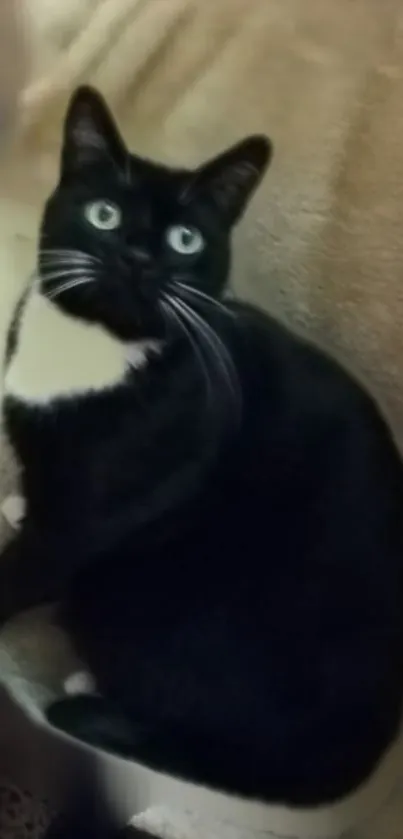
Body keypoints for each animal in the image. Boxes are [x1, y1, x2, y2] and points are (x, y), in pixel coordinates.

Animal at [0, 88, 403, 812]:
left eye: (183, 240)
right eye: (105, 215)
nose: (137, 255)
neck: (97, 342)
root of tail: (355, 758)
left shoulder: (88, 521)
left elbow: (27, 566)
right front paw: (19, 503)